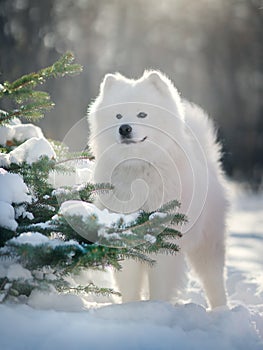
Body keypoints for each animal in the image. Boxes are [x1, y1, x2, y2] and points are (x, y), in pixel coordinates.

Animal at [87, 69, 228, 308]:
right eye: (118, 116)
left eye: (142, 114)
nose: (124, 128)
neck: (140, 170)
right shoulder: (124, 237)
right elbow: (129, 283)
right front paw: (130, 308)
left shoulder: (166, 241)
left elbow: (160, 284)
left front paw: (157, 307)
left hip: (208, 244)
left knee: (214, 280)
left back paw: (221, 309)